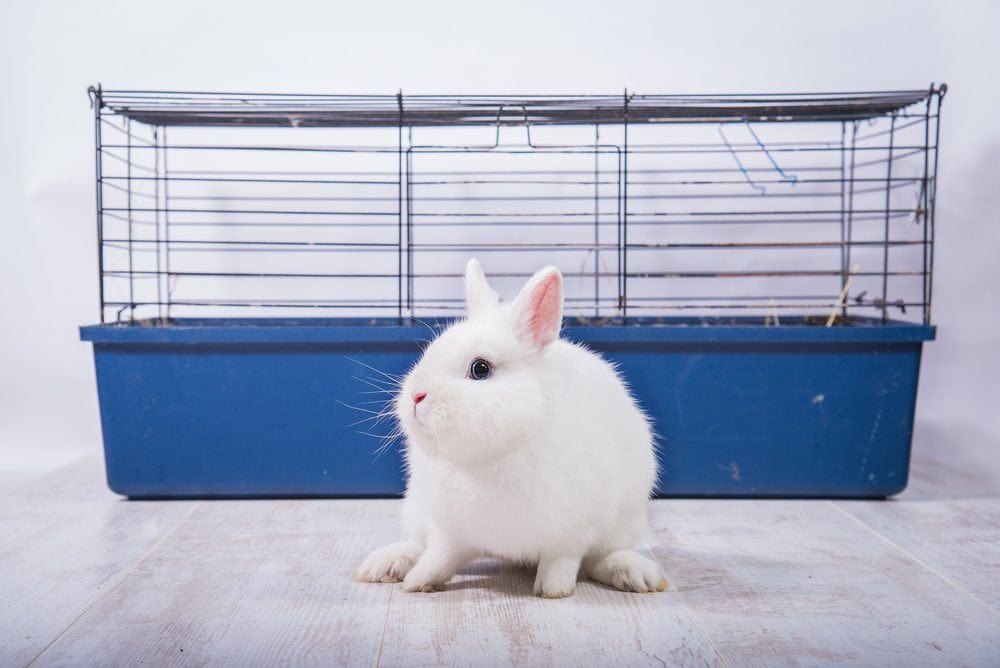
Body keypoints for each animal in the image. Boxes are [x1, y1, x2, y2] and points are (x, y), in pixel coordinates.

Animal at [354, 258, 667, 598]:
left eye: (480, 368)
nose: (416, 396)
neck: (489, 457)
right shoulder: (449, 530)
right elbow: (439, 557)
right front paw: (417, 582)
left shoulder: (573, 531)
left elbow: (562, 563)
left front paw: (552, 591)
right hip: (414, 508)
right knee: (415, 543)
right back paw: (385, 565)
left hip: (625, 522)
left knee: (601, 558)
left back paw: (637, 573)